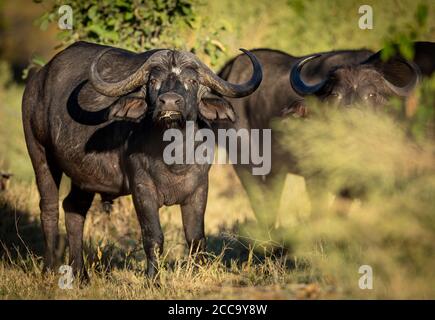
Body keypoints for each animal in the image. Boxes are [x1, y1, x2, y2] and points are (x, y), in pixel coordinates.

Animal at [23, 41, 262, 278]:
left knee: (74, 209)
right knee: (49, 208)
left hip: (84, 177)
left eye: (192, 81)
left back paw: (80, 274)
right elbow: (153, 237)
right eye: (154, 81)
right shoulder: (142, 189)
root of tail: (38, 79)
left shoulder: (199, 189)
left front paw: (196, 273)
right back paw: (49, 268)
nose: (169, 102)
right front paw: (153, 279)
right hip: (39, 152)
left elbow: (195, 238)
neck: (175, 157)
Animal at [218, 43, 430, 228]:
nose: (350, 120)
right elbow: (319, 211)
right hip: (244, 162)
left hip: (275, 170)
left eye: (371, 95)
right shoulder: (314, 177)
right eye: (335, 95)